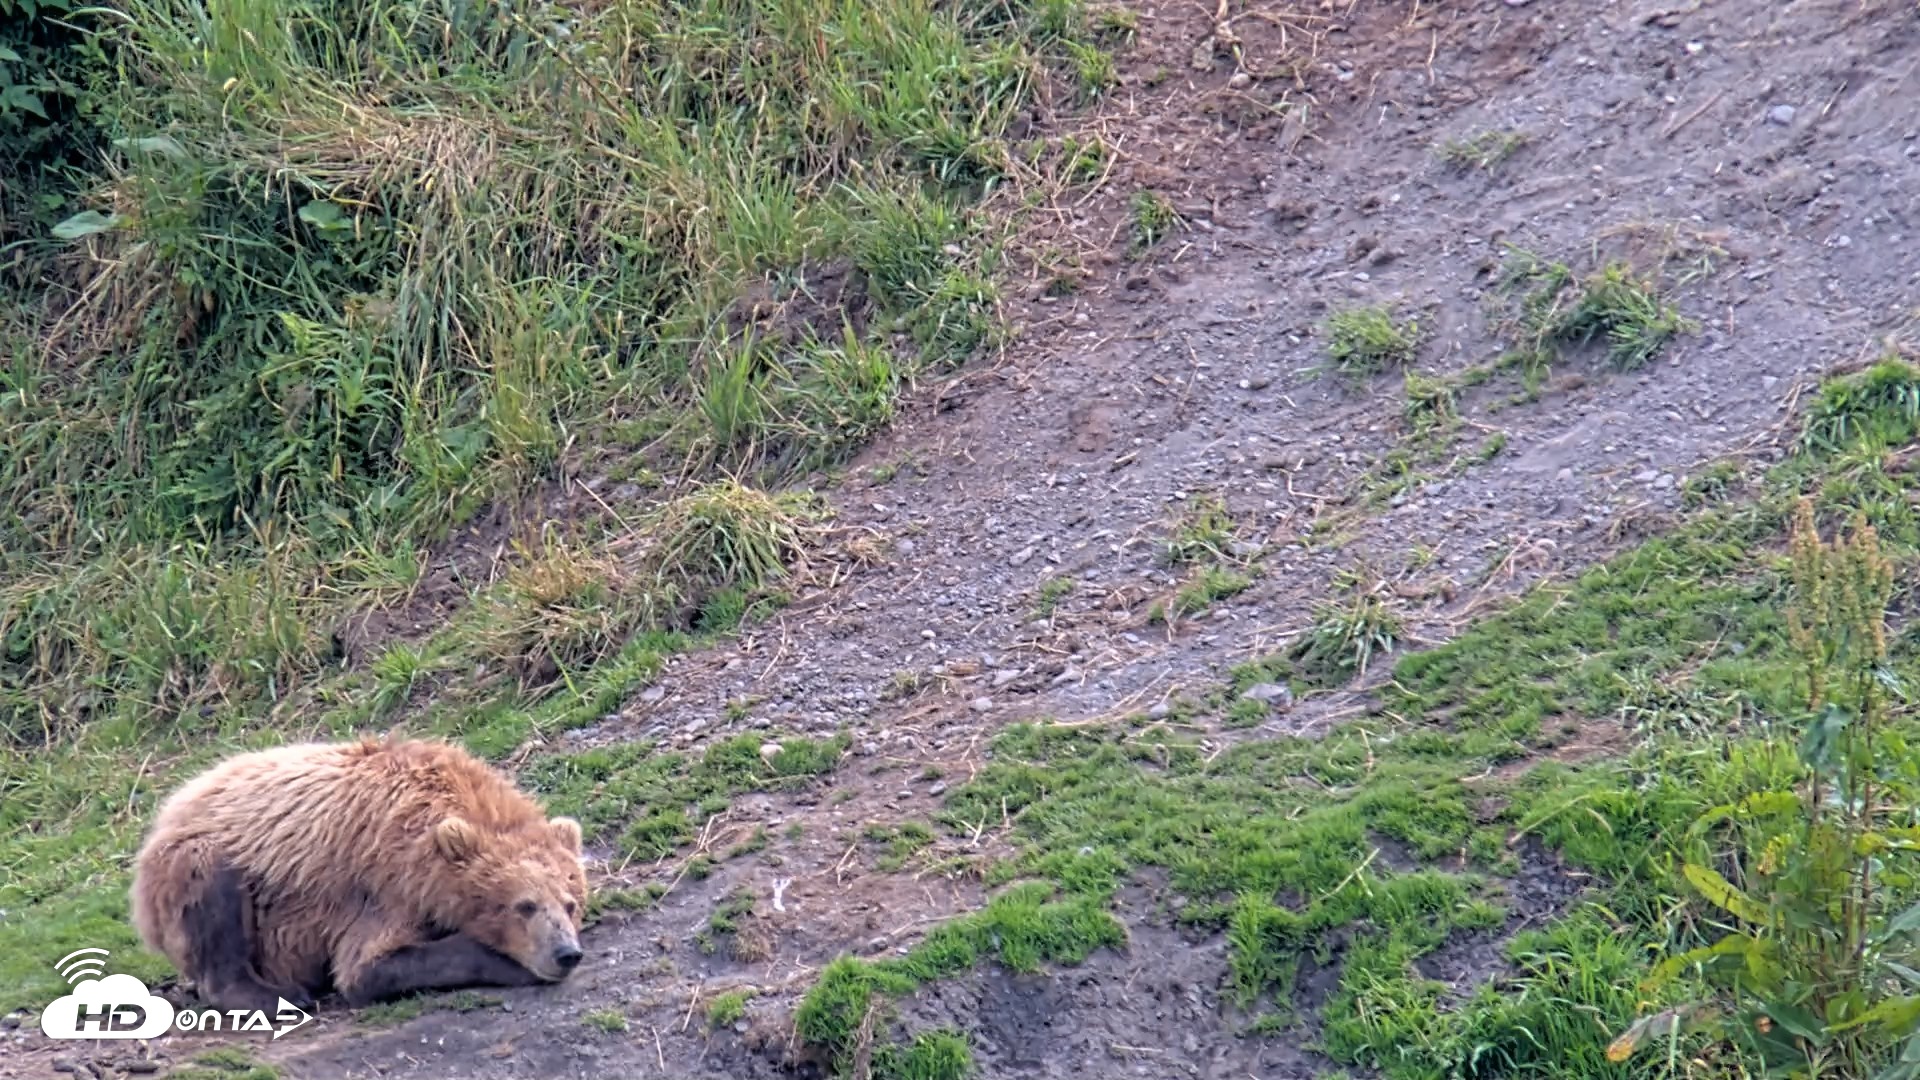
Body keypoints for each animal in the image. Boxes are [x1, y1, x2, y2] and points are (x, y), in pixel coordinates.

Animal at [129, 736, 589, 1011]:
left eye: (570, 903)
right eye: (523, 906)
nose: (566, 953)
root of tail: (169, 811)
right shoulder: (382, 884)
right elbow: (367, 967)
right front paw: (510, 964)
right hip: (196, 864)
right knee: (213, 889)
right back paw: (277, 995)